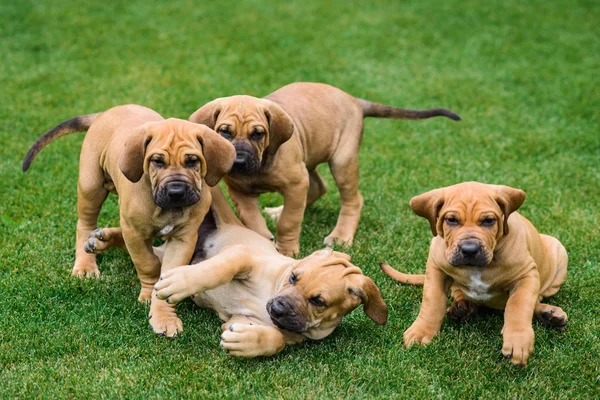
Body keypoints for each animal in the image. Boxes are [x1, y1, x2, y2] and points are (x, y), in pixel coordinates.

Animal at [21, 104, 237, 336]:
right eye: (157, 161)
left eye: (192, 161)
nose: (176, 192)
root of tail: (105, 112)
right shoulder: (133, 232)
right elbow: (148, 264)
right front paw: (148, 294)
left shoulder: (184, 238)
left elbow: (168, 277)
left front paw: (164, 316)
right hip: (91, 185)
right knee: (85, 223)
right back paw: (85, 265)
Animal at [149, 184, 386, 356]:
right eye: (293, 277)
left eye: (318, 301)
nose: (279, 308)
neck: (272, 287)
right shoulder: (244, 254)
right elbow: (218, 270)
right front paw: (178, 282)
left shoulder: (240, 320)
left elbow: (277, 339)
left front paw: (246, 342)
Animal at [190, 81, 462, 256]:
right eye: (224, 132)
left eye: (258, 134)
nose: (238, 162)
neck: (262, 163)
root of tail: (354, 100)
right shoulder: (239, 191)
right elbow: (252, 219)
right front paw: (262, 238)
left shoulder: (295, 182)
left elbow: (289, 221)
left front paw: (286, 250)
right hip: (309, 158)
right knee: (317, 188)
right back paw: (277, 211)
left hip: (342, 161)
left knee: (352, 200)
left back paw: (341, 236)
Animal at [380, 181, 568, 366]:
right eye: (451, 220)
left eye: (488, 221)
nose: (469, 250)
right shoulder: (436, 268)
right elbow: (432, 300)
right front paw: (421, 331)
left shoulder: (527, 274)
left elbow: (518, 305)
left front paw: (517, 341)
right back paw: (462, 308)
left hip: (559, 251)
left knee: (534, 299)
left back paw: (549, 314)